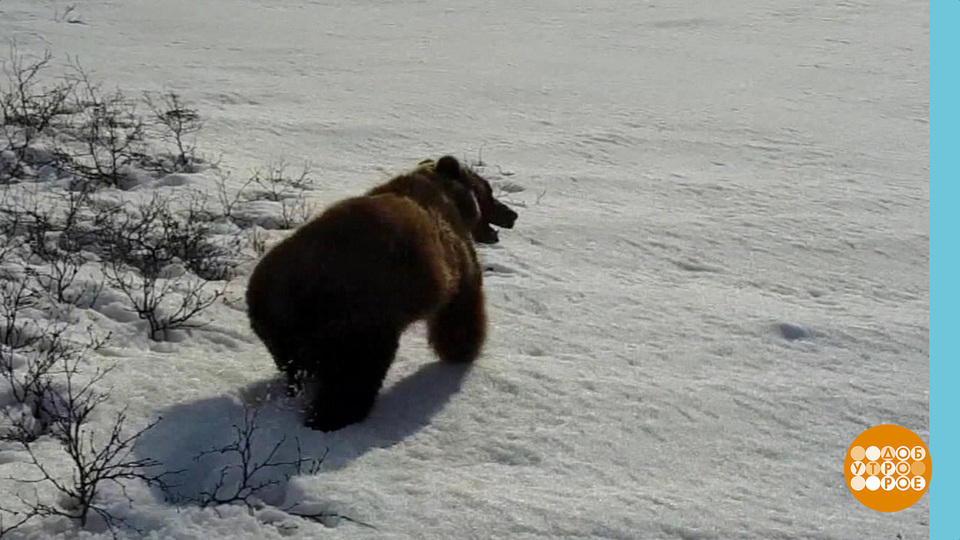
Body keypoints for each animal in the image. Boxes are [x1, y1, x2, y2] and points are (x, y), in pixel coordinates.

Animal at [248, 155, 516, 430]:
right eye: (490, 192)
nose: (512, 214)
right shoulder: (454, 257)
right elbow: (462, 306)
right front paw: (463, 350)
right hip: (360, 313)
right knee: (354, 375)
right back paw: (332, 418)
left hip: (281, 334)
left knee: (298, 369)